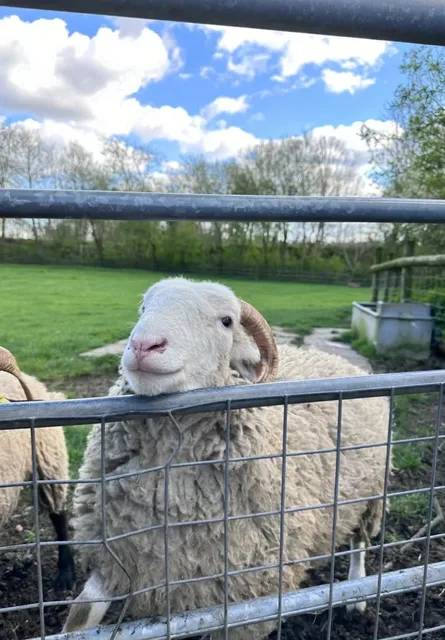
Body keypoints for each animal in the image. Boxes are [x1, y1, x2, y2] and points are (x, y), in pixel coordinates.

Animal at [62, 277, 390, 639]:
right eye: (144, 308)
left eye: (226, 321)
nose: (143, 345)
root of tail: (336, 358)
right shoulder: (121, 556)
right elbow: (80, 615)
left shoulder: (251, 594)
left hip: (371, 494)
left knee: (360, 542)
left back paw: (356, 594)